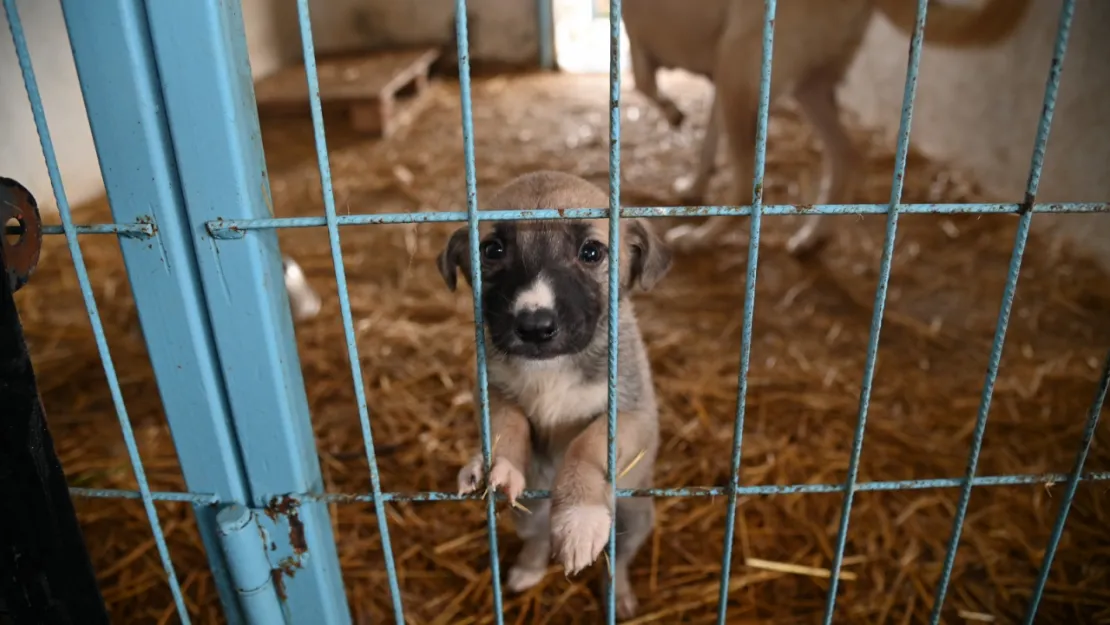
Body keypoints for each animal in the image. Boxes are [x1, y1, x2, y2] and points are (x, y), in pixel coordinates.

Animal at [437, 170, 670, 621]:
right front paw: (498, 466)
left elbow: (586, 444)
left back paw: (620, 595)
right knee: (537, 537)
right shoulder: (493, 393)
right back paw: (528, 569)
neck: (552, 367)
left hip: (635, 516)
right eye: (492, 250)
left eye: (591, 251)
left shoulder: (634, 414)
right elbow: (509, 426)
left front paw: (579, 517)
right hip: (529, 513)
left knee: (619, 559)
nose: (534, 326)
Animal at [626, 0, 1030, 254]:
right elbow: (706, 139)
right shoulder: (716, 79)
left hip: (740, 68)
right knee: (847, 158)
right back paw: (813, 236)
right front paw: (694, 184)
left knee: (747, 189)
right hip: (802, 86)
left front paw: (673, 113)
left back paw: (700, 239)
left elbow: (644, 82)